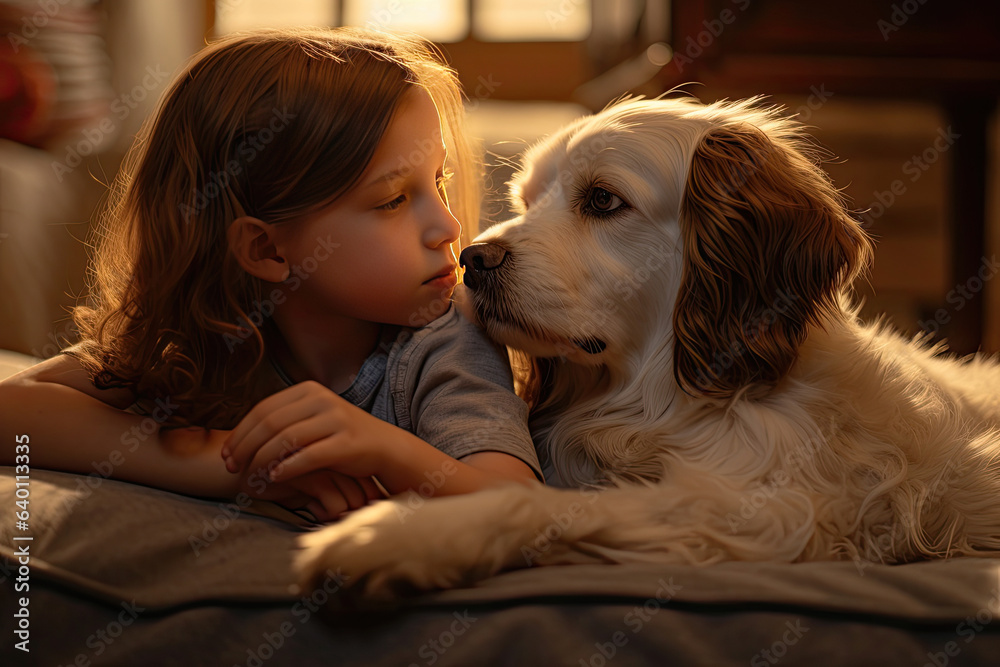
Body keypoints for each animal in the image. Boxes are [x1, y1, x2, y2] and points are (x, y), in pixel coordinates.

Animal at [292, 94, 1000, 596]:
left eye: (603, 200)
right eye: (525, 200)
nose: (473, 259)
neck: (661, 402)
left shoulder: (769, 513)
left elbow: (535, 500)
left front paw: (406, 535)